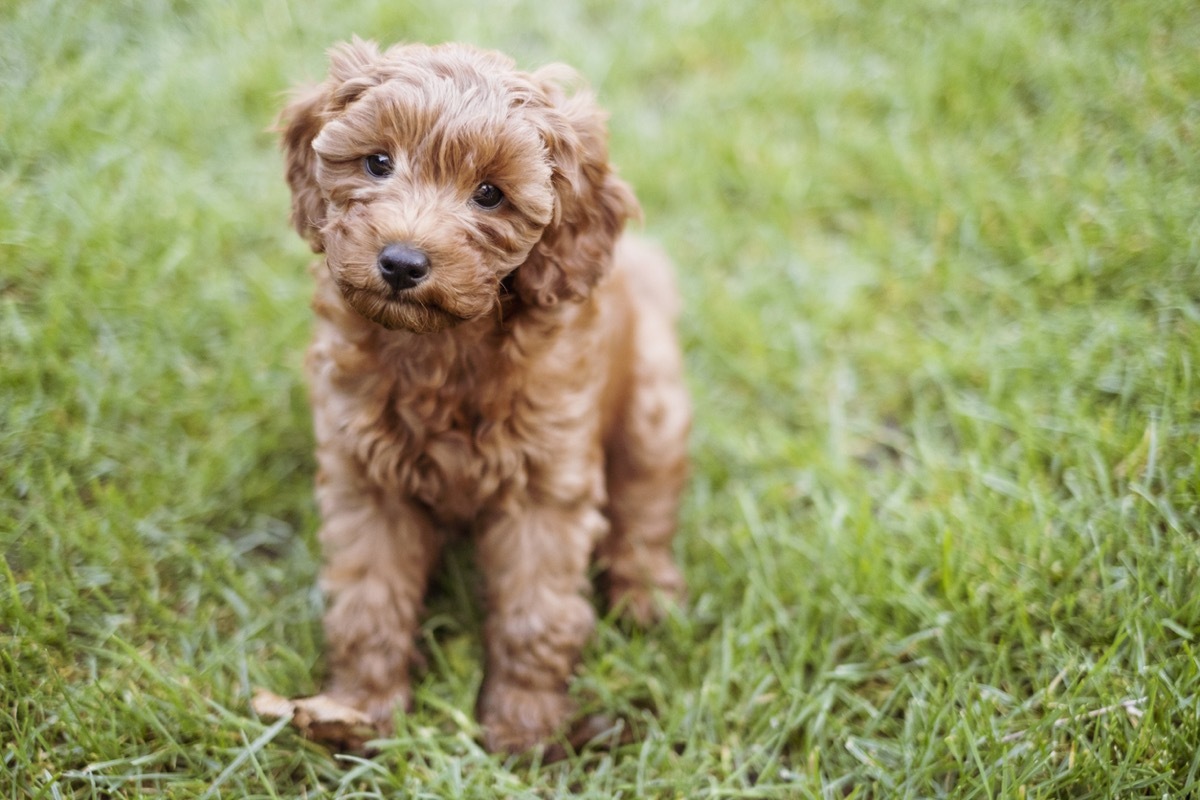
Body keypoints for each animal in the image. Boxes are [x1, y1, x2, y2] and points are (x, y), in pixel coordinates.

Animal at [277, 40, 691, 753]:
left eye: (490, 194)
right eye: (377, 161)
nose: (402, 262)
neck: (441, 349)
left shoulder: (544, 490)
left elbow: (536, 611)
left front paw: (524, 727)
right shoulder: (365, 480)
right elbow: (368, 600)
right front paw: (358, 712)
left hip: (652, 409)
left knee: (645, 509)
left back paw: (646, 598)